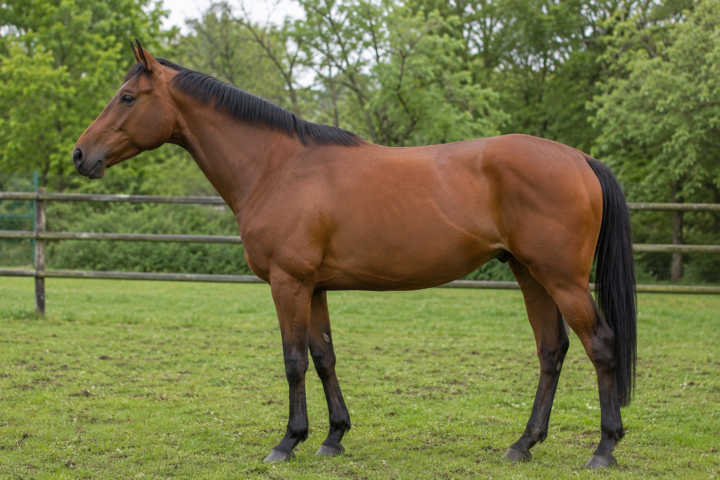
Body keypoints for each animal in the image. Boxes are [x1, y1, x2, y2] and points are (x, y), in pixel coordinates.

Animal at [73, 40, 636, 469]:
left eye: (127, 97)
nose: (81, 155)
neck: (278, 167)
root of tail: (579, 158)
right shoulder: (315, 287)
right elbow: (324, 358)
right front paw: (333, 437)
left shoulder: (289, 283)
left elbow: (294, 361)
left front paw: (288, 441)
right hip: (530, 274)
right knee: (551, 350)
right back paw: (523, 444)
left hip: (561, 278)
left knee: (601, 345)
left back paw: (604, 449)